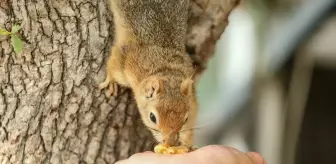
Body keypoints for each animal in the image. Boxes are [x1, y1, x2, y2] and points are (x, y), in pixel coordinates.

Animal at [100, 0, 198, 149]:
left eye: (185, 119)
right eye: (152, 117)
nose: (168, 143)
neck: (165, 67)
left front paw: (189, 143)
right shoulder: (127, 59)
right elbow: (114, 66)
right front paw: (110, 82)